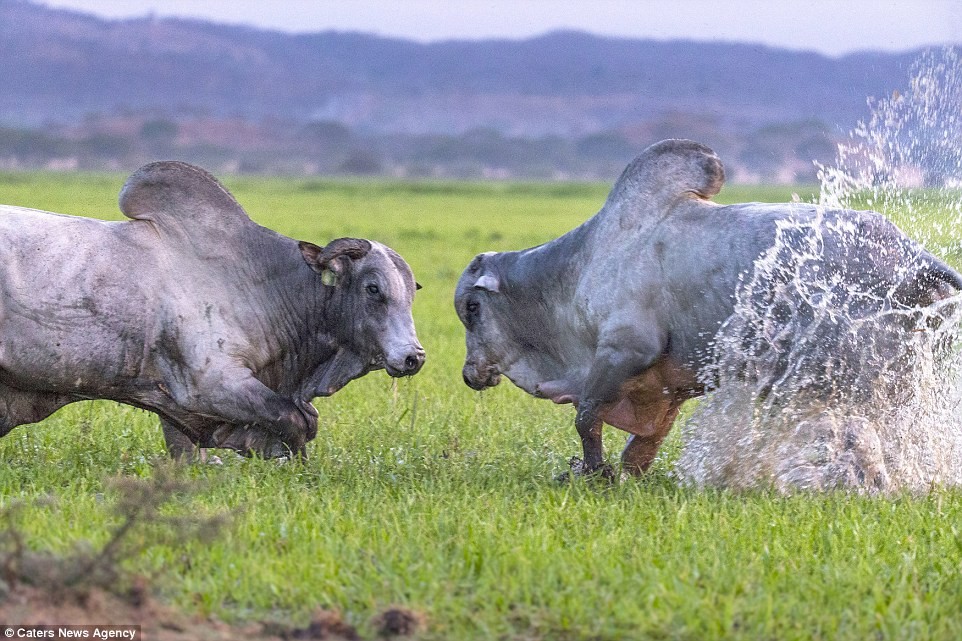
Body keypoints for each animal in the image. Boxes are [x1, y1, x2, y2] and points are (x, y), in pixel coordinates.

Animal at [0, 162, 424, 458]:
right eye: (373, 288)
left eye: (410, 293)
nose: (413, 357)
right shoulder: (213, 384)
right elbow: (296, 424)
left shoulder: (174, 403)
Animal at [452, 141, 960, 480]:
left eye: (473, 308)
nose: (470, 374)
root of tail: (911, 255)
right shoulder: (668, 385)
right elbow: (641, 445)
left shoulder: (623, 350)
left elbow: (587, 418)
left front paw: (594, 475)